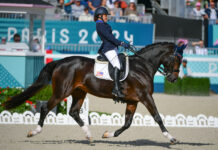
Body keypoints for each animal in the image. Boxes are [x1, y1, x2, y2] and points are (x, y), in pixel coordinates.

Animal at [3, 42, 181, 144]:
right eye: (177, 59)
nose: (173, 79)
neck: (142, 66)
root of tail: (60, 61)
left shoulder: (133, 100)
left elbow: (127, 123)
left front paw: (108, 134)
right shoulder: (145, 97)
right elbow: (157, 117)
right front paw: (171, 138)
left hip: (79, 92)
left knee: (74, 112)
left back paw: (89, 136)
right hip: (62, 91)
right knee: (46, 108)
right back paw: (34, 132)